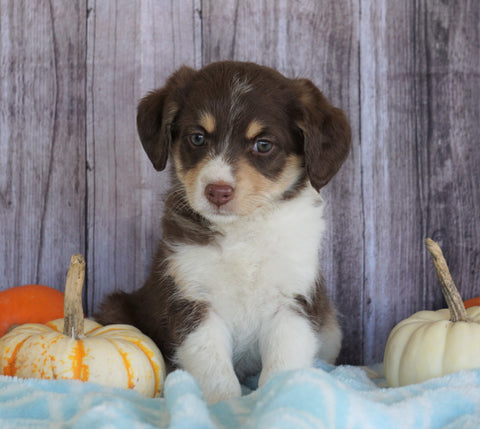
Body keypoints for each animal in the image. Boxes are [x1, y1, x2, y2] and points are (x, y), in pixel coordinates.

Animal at [95, 60, 350, 402]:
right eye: (198, 138)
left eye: (263, 145)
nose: (218, 191)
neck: (243, 231)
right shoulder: (194, 302)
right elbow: (215, 371)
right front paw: (226, 406)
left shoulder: (292, 300)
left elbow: (283, 364)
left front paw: (276, 399)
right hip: (117, 309)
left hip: (331, 328)